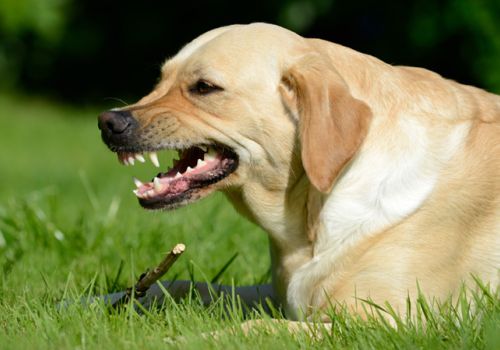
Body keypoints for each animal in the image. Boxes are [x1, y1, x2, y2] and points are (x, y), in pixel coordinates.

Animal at [98, 21, 500, 322]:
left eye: (204, 87)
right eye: (160, 80)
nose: (108, 122)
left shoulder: (386, 320)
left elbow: (250, 328)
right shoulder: (280, 296)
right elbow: (181, 284)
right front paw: (95, 302)